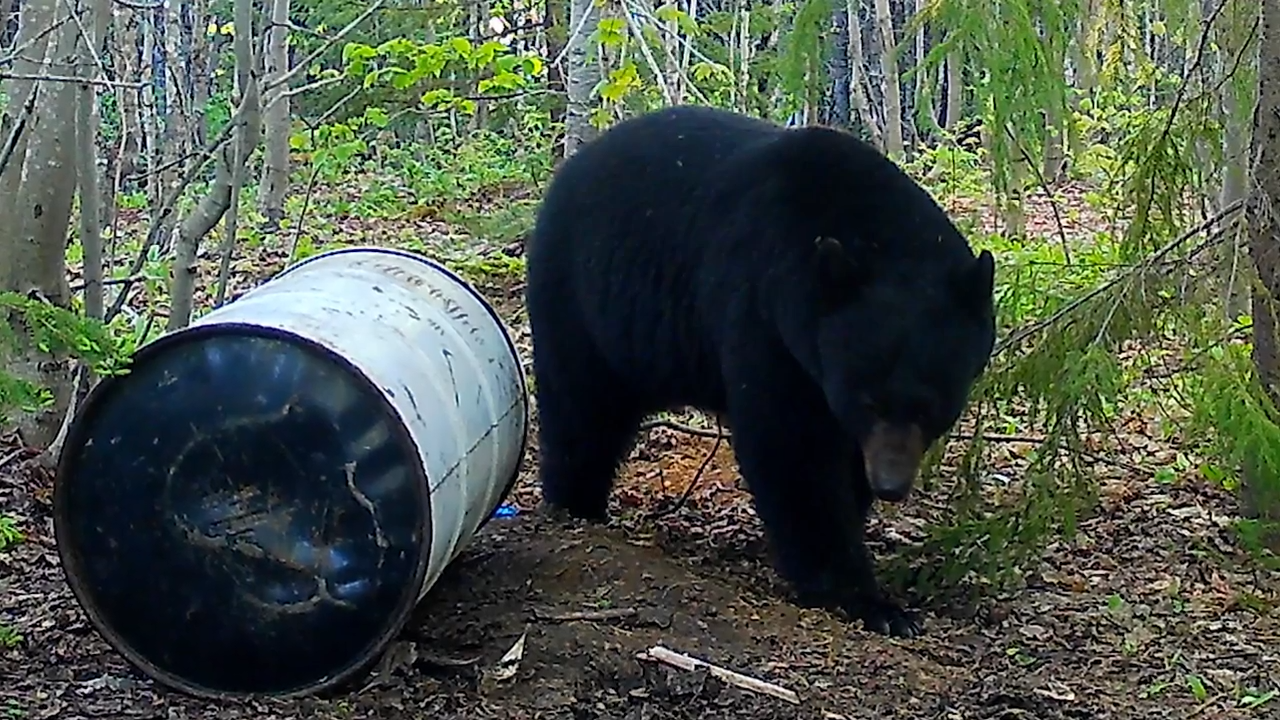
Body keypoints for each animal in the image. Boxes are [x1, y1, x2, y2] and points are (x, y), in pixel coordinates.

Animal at [524, 105, 996, 638]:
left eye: (928, 407)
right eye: (868, 401)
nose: (890, 485)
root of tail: (566, 175)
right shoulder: (762, 313)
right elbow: (791, 451)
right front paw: (868, 599)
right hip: (581, 301)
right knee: (582, 411)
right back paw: (575, 505)